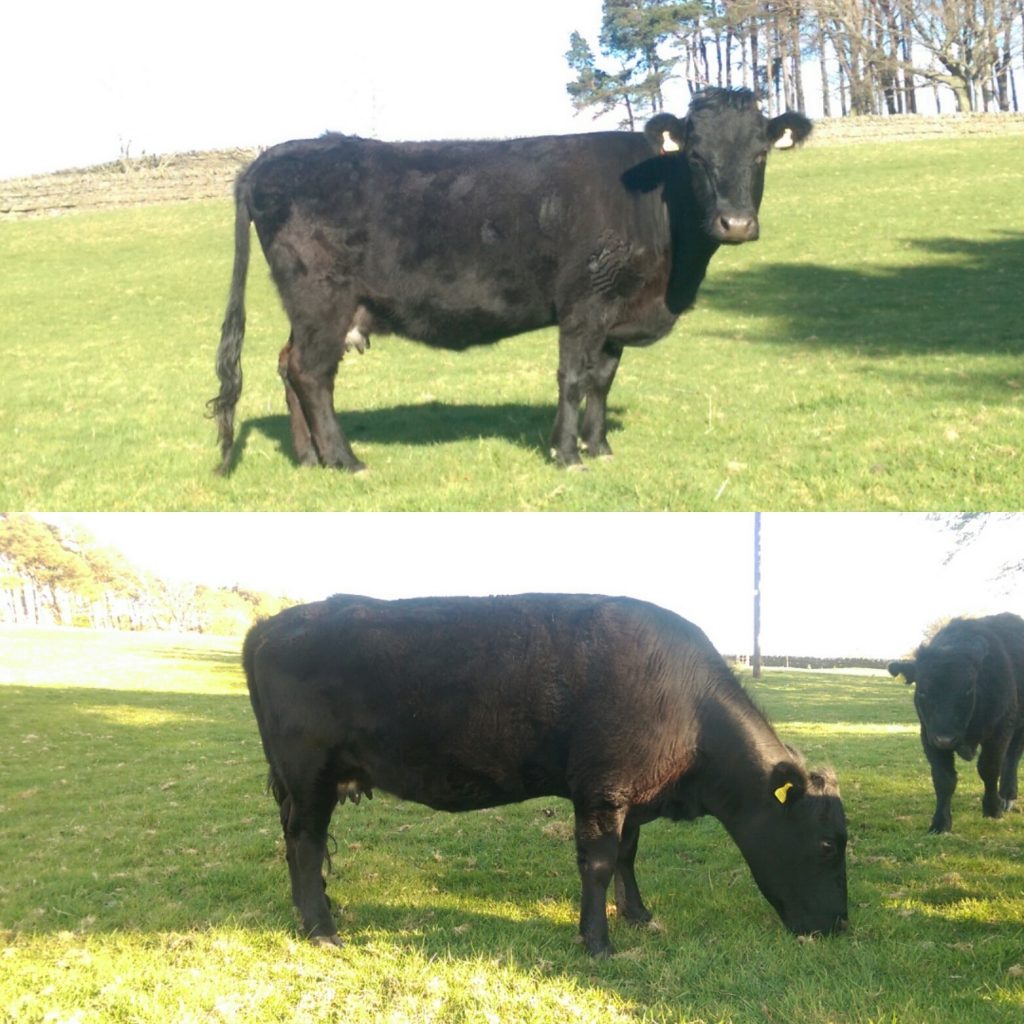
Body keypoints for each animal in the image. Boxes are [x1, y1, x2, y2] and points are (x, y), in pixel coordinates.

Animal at [211, 88, 811, 471]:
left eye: (760, 154)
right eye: (696, 156)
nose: (736, 223)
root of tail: (270, 158)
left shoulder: (615, 312)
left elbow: (602, 380)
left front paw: (600, 448)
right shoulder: (584, 304)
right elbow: (573, 378)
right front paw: (567, 455)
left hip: (314, 308)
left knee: (289, 364)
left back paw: (309, 458)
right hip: (321, 297)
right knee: (312, 373)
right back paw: (344, 459)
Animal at [241, 589, 847, 954]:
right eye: (825, 846)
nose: (840, 925)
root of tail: (273, 624)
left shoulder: (631, 797)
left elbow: (627, 856)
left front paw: (638, 914)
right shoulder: (601, 789)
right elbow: (599, 863)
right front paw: (597, 941)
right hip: (309, 775)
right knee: (303, 843)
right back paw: (322, 930)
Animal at [888, 610, 1024, 835]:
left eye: (968, 689)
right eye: (922, 691)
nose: (945, 739)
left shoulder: (1000, 728)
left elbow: (989, 768)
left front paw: (993, 808)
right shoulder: (928, 735)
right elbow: (943, 779)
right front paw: (940, 823)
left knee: (1012, 757)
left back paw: (1007, 796)